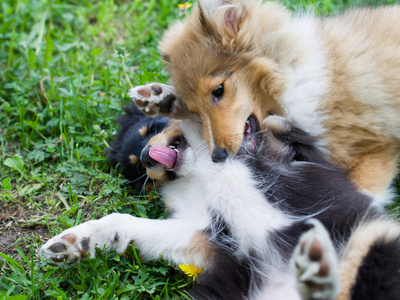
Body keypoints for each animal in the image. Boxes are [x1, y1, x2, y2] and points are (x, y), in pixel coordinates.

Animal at [40, 115, 400, 300]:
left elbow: (256, 140)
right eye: (137, 169)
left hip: (372, 239)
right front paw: (72, 243)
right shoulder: (204, 234)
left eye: (150, 129)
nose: (145, 157)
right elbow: (132, 223)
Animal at [130, 0, 400, 206]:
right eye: (196, 110)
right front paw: (160, 97)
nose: (217, 157)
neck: (291, 76)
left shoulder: (371, 152)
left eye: (219, 90)